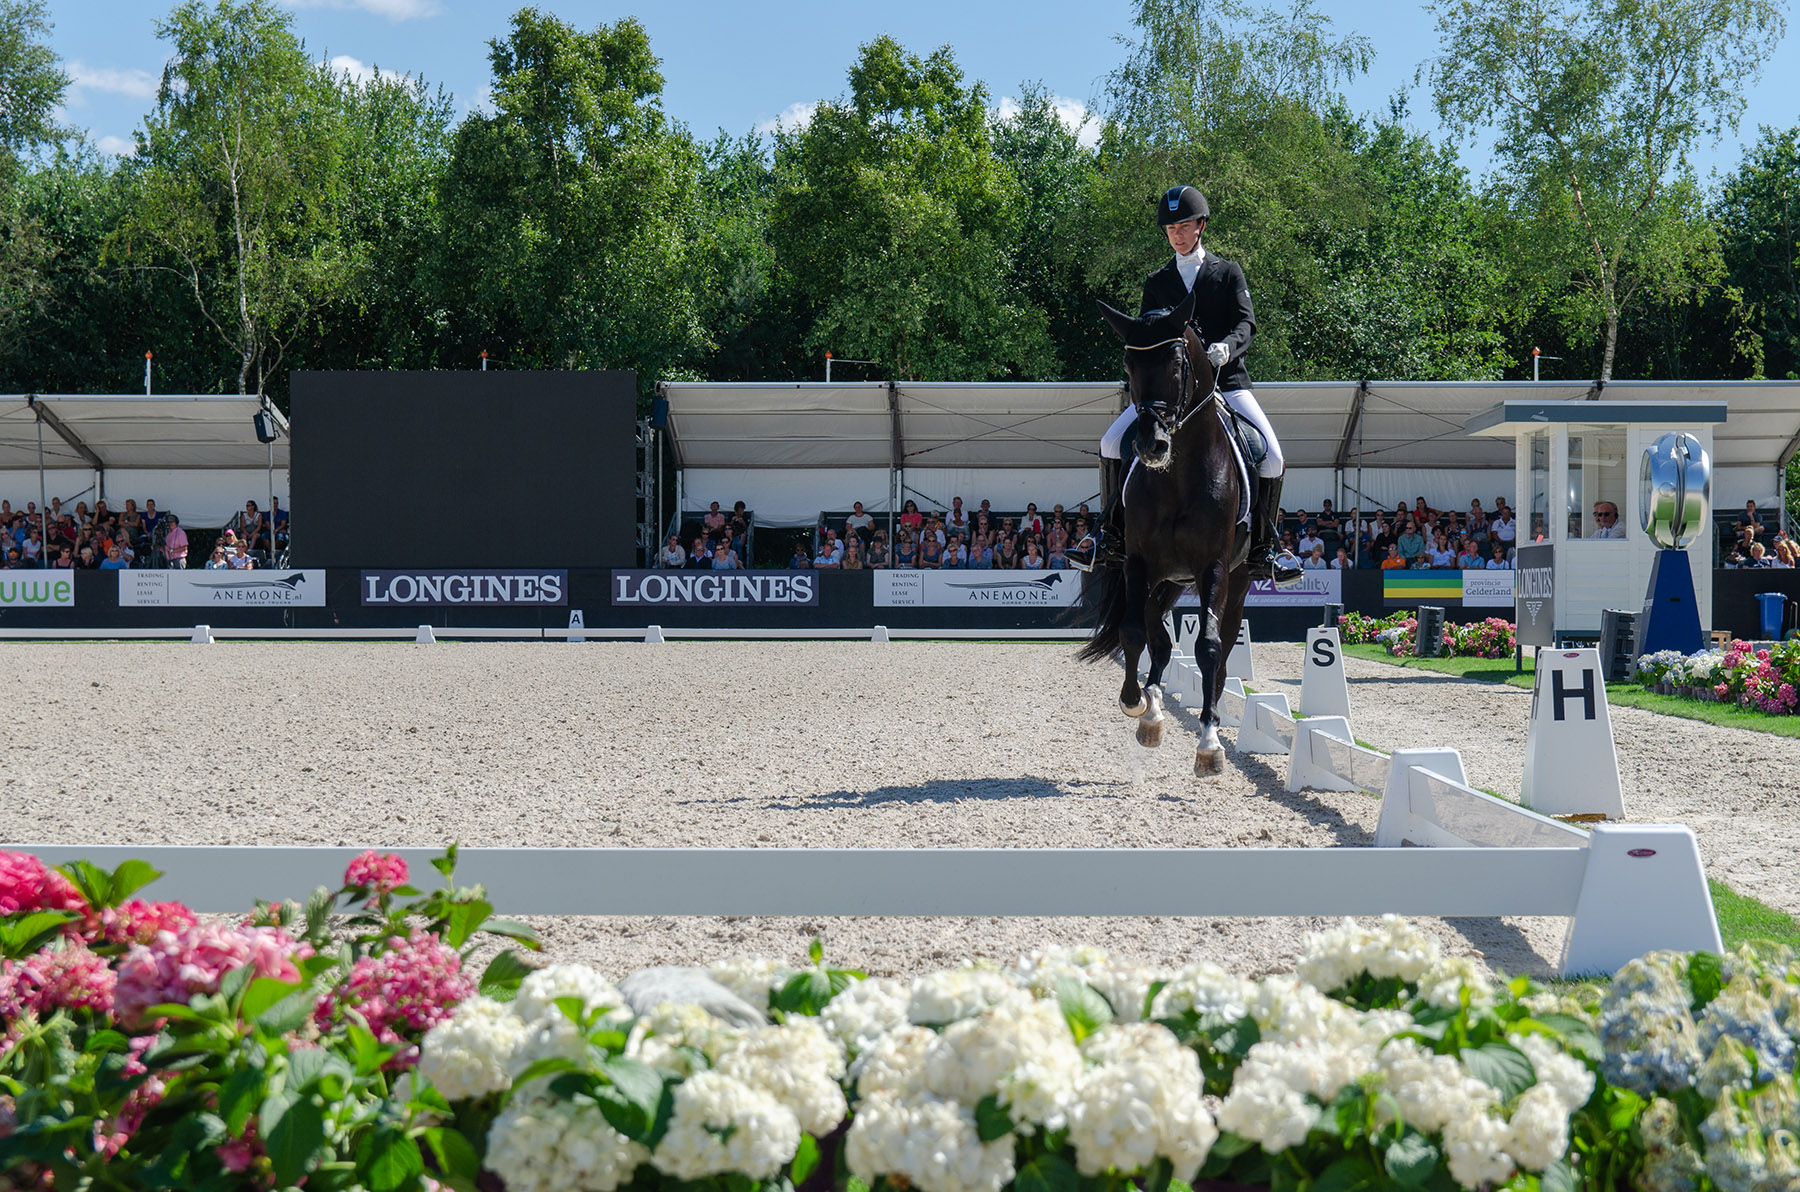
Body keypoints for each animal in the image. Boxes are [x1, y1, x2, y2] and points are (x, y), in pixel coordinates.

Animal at [1080, 293, 1252, 781]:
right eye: (1128, 363)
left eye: (1177, 363)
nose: (1150, 445)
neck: (1178, 473)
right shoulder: (1139, 561)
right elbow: (1134, 630)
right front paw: (1135, 703)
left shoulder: (1214, 567)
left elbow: (1208, 647)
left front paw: (1209, 745)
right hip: (1169, 579)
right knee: (1155, 629)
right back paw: (1153, 710)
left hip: (1236, 581)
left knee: (1223, 650)